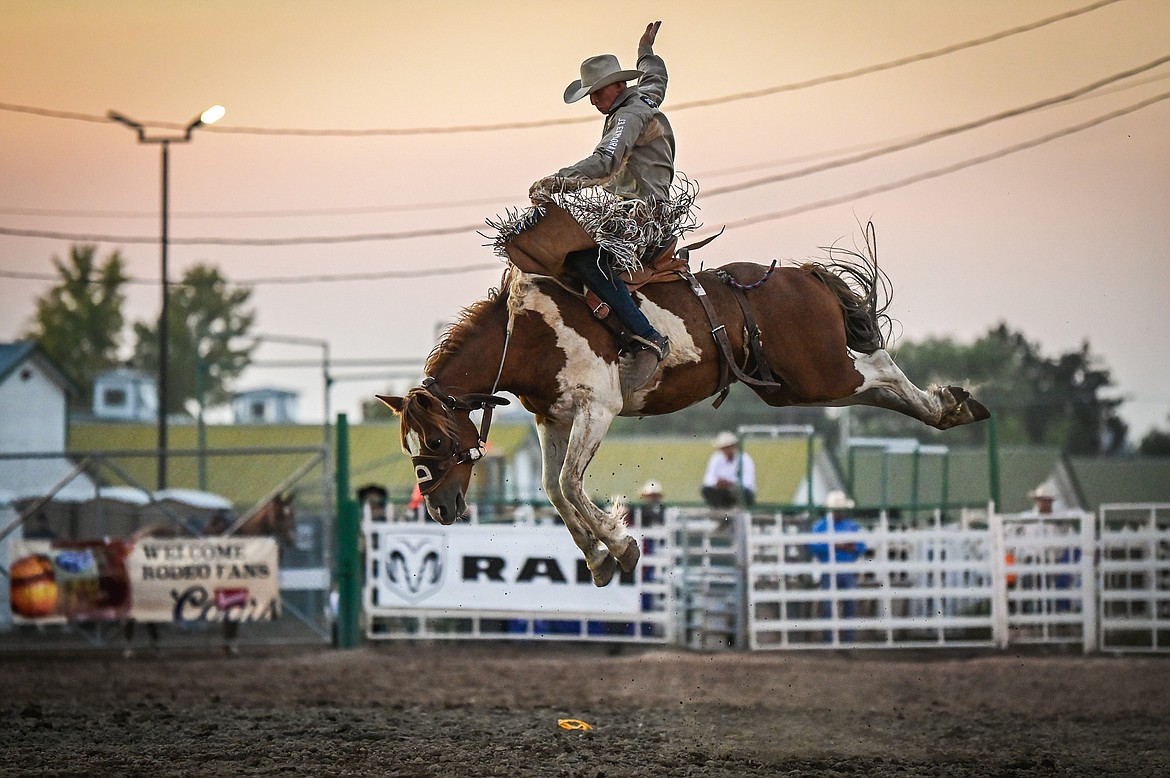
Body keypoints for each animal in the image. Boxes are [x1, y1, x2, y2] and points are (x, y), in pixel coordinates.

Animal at [122, 491, 297, 655]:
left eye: (292, 514)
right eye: (279, 515)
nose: (292, 540)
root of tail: (136, 536)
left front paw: (229, 646)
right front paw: (230, 647)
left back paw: (156, 647)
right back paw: (130, 649)